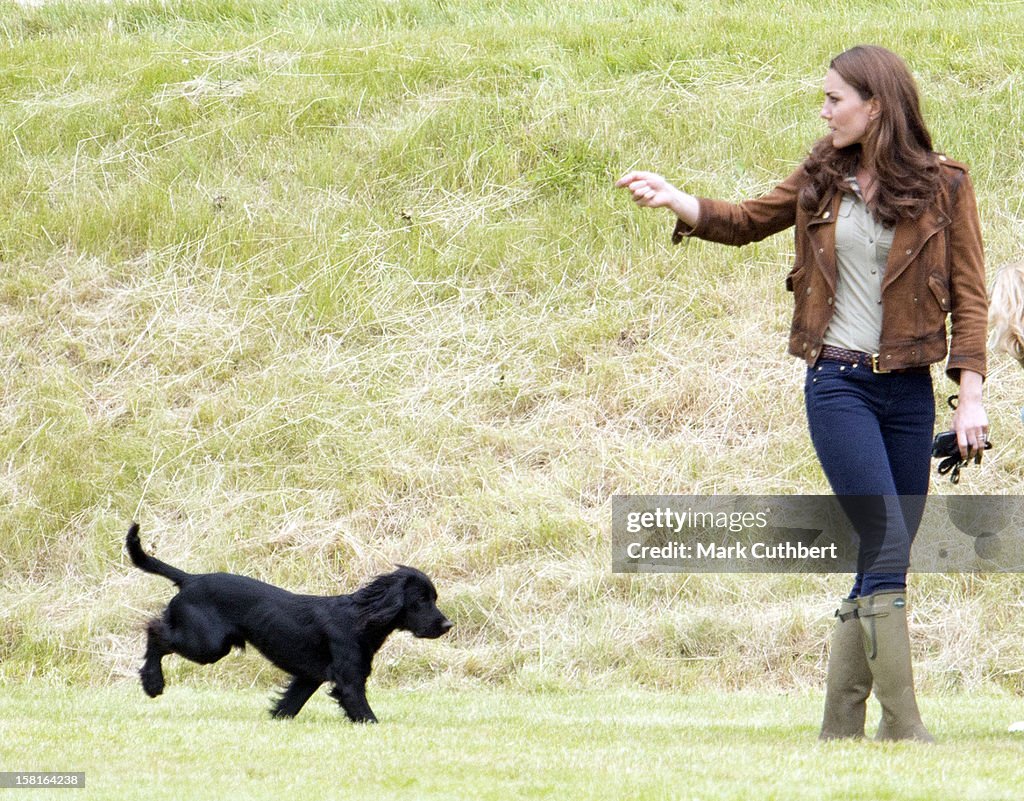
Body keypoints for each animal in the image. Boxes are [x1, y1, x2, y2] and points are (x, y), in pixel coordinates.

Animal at [124, 524, 452, 725]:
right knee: (155, 631)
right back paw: (152, 683)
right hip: (208, 645)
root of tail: (190, 578)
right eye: (421, 600)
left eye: (433, 597)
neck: (361, 617)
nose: (447, 624)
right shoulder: (349, 680)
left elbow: (288, 705)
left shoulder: (308, 677)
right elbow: (365, 714)